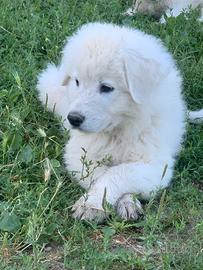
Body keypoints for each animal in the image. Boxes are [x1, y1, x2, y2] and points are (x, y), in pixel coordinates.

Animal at [37, 22, 202, 221]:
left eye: (106, 87)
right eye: (77, 81)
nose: (74, 119)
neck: (118, 130)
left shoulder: (155, 166)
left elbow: (118, 172)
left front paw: (96, 204)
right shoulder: (80, 155)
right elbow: (102, 173)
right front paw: (101, 204)